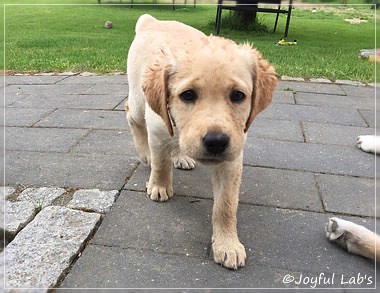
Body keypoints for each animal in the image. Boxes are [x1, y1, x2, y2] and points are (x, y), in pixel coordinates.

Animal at [126, 14, 278, 270]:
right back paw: (145, 154)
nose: (216, 142)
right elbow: (160, 163)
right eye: (187, 95)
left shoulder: (233, 156)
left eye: (238, 96)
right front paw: (159, 186)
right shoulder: (157, 130)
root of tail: (152, 20)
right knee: (130, 113)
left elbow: (226, 205)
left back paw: (181, 157)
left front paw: (227, 244)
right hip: (139, 102)